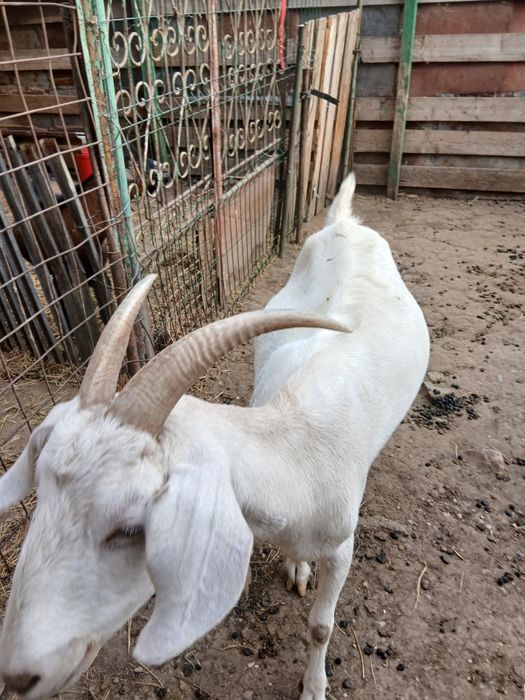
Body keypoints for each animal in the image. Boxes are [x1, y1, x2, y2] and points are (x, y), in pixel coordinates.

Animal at [0, 173, 429, 700]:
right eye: (41, 493)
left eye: (132, 528)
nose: (19, 675)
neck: (294, 450)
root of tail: (345, 221)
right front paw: (296, 568)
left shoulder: (342, 547)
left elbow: (321, 626)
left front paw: (313, 687)